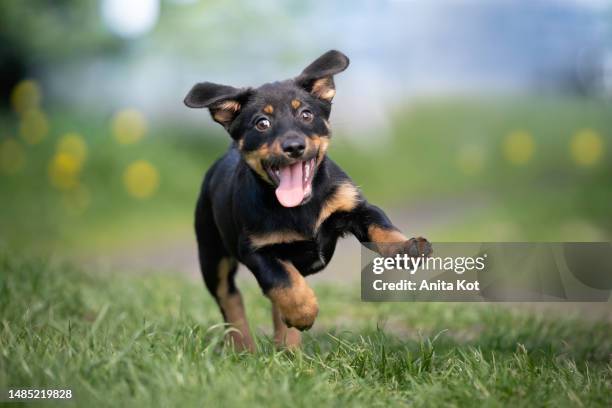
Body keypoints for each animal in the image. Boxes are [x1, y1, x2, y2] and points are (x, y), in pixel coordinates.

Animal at [185, 50, 430, 350]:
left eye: (306, 114)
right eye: (261, 123)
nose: (294, 147)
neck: (301, 206)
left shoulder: (356, 208)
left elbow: (382, 227)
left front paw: (407, 247)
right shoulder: (256, 249)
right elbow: (283, 282)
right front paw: (304, 312)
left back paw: (287, 348)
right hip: (211, 253)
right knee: (230, 299)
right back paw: (245, 347)